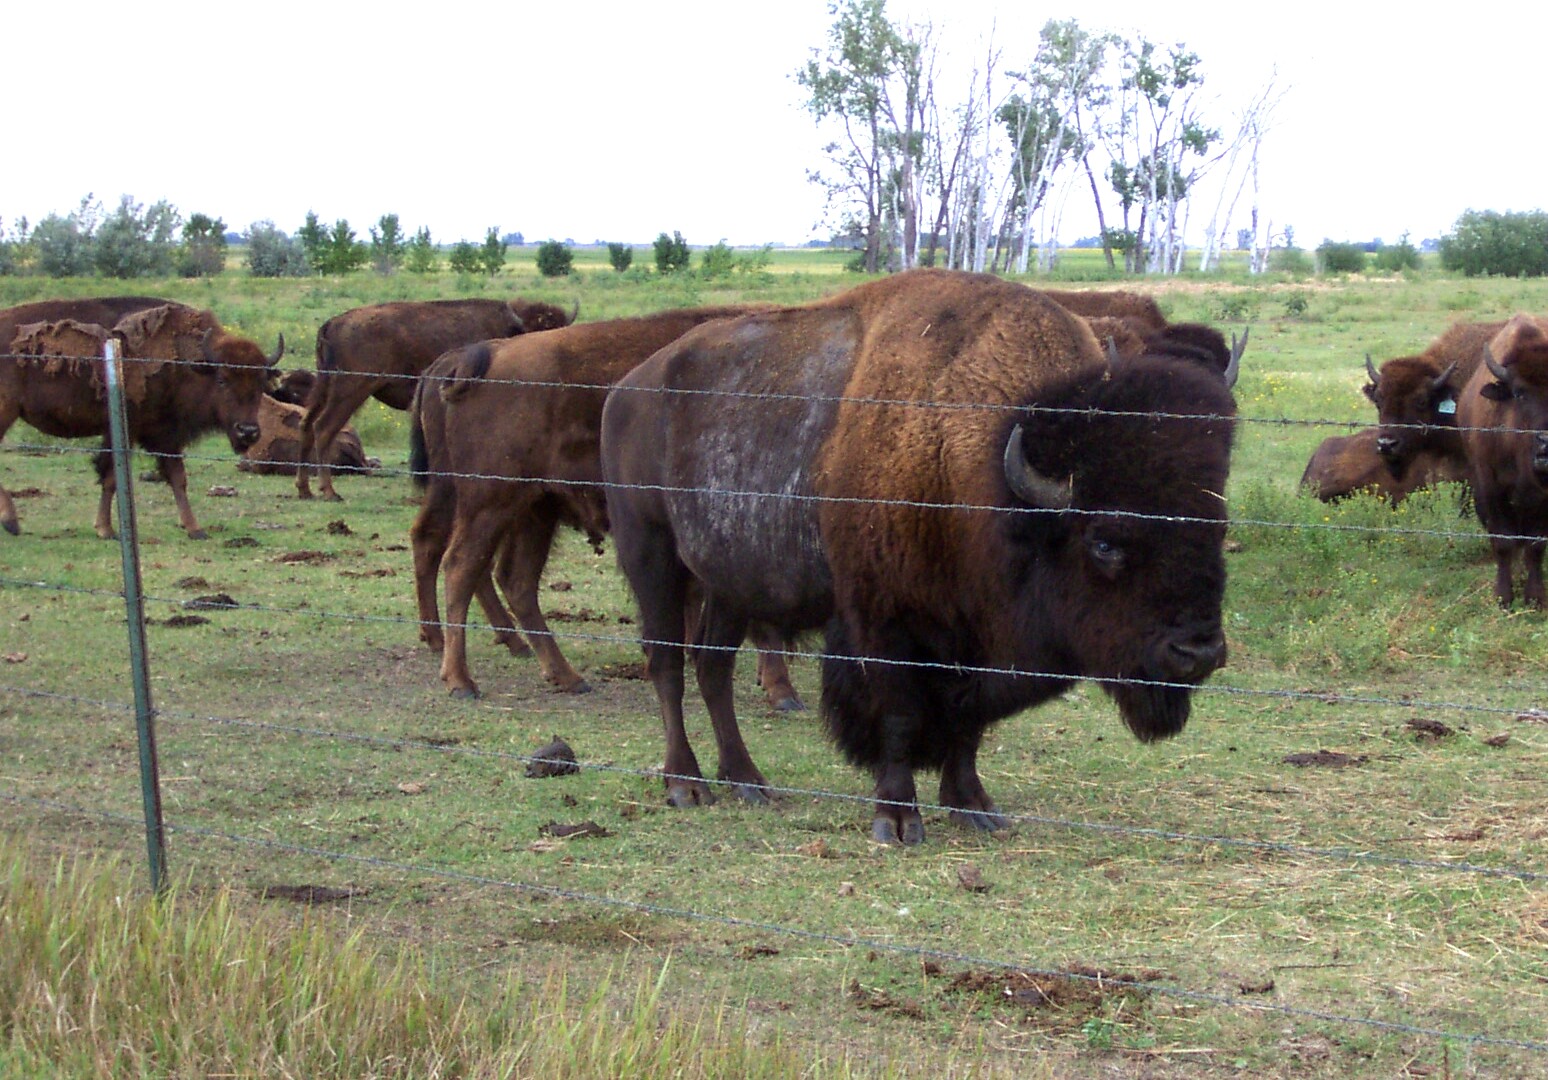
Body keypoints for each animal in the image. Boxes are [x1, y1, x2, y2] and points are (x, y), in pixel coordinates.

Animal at [1, 302, 282, 538]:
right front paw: (107, 529)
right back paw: (11, 522)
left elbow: (177, 477)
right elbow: (112, 477)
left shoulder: (165, 435)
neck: (185, 362)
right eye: (222, 380)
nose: (248, 431)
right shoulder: (130, 431)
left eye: (261, 383)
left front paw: (195, 529)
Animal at [297, 298, 575, 500]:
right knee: (323, 428)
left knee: (307, 425)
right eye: (535, 338)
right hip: (350, 390)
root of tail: (333, 323)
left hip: (325, 388)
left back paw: (305, 490)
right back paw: (330, 492)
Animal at [409, 305, 801, 709]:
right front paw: (781, 690)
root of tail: (478, 355)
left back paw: (563, 674)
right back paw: (461, 679)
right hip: (489, 501)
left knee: (510, 577)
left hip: (534, 508)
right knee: (460, 565)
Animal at [601, 269, 1236, 843]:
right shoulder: (884, 622)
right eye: (1104, 540)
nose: (1197, 652)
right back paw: (686, 784)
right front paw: (898, 819)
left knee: (713, 667)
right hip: (651, 554)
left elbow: (968, 723)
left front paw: (975, 807)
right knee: (666, 663)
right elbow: (900, 715)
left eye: (1217, 526)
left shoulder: (973, 639)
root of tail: (627, 389)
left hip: (729, 580)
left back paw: (748, 781)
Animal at [1456, 315, 1548, 608]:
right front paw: (1504, 597)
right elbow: (1503, 541)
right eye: (1519, 393)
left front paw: (1535, 597)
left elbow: (1535, 544)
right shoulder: (1490, 488)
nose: (1546, 443)